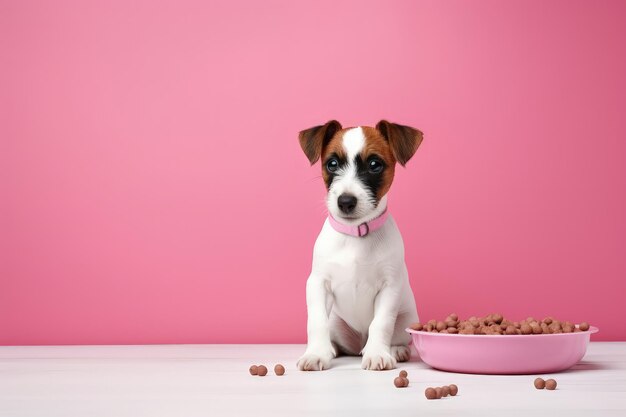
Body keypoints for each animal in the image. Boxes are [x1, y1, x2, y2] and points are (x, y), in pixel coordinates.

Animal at [294, 120, 422, 370]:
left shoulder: (390, 287)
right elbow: (316, 321)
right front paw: (316, 353)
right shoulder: (317, 283)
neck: (355, 235)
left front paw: (378, 353)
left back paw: (395, 349)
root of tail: (357, 344)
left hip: (407, 318)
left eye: (374, 165)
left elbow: (381, 323)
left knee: (395, 335)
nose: (345, 201)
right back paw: (332, 349)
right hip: (337, 321)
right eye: (332, 164)